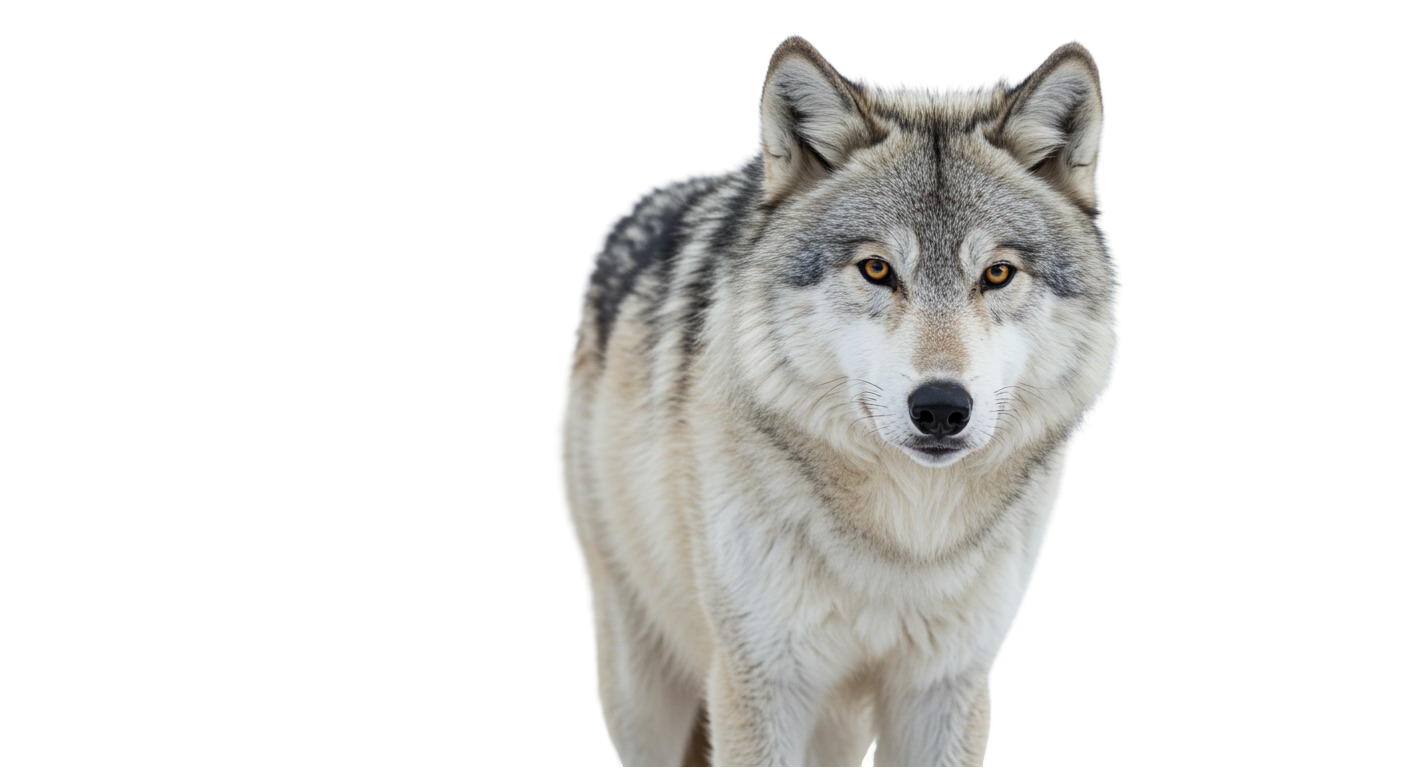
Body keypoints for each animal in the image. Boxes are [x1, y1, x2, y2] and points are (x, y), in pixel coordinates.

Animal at [554, 33, 1121, 766]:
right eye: (877, 269)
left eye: (997, 274)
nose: (941, 408)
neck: (905, 538)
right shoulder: (761, 683)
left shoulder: (945, 687)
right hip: (641, 688)